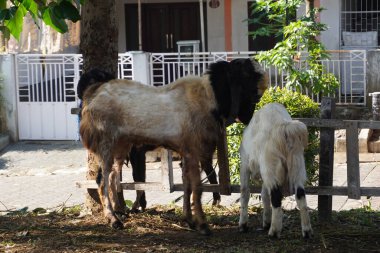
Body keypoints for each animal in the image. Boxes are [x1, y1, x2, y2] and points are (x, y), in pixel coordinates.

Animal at [77, 58, 268, 234]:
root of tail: (93, 92)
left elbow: (187, 185)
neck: (208, 96)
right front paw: (203, 225)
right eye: (247, 76)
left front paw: (189, 220)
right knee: (102, 180)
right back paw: (113, 220)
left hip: (121, 145)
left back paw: (119, 212)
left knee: (112, 177)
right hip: (106, 144)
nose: (250, 116)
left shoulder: (187, 152)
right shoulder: (194, 151)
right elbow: (197, 187)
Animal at [239, 102, 314, 238]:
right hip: (296, 163)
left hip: (271, 164)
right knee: (300, 194)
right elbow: (264, 194)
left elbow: (245, 192)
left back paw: (274, 231)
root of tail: (284, 127)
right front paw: (266, 221)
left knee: (276, 196)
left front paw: (243, 225)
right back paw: (306, 231)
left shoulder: (245, 164)